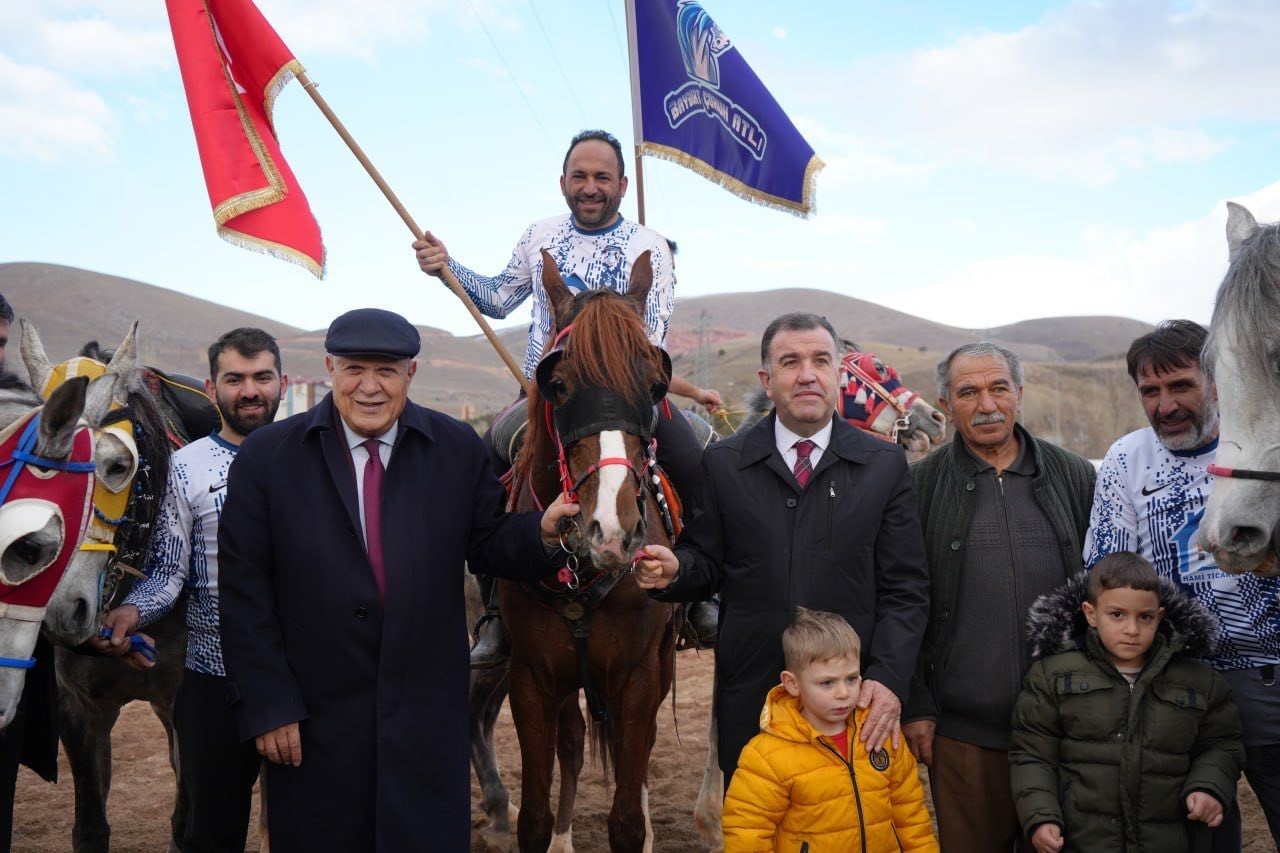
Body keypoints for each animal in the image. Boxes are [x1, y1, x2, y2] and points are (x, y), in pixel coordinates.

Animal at [499, 252, 680, 850]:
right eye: (557, 385)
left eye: (655, 386)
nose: (612, 532)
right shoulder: (531, 680)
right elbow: (531, 818)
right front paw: (551, 833)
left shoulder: (638, 678)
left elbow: (625, 816)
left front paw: (638, 830)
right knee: (575, 742)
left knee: (638, 752)